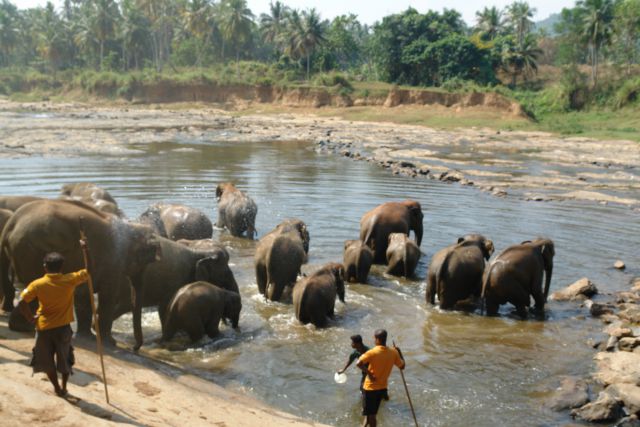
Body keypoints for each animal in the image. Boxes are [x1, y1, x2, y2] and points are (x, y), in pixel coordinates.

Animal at [0, 199, 160, 346]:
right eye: (144, 263)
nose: (135, 348)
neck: (131, 226)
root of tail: (10, 225)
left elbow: (83, 293)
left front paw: (87, 337)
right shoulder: (113, 262)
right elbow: (107, 296)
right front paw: (110, 343)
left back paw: (23, 326)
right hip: (33, 253)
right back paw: (29, 327)